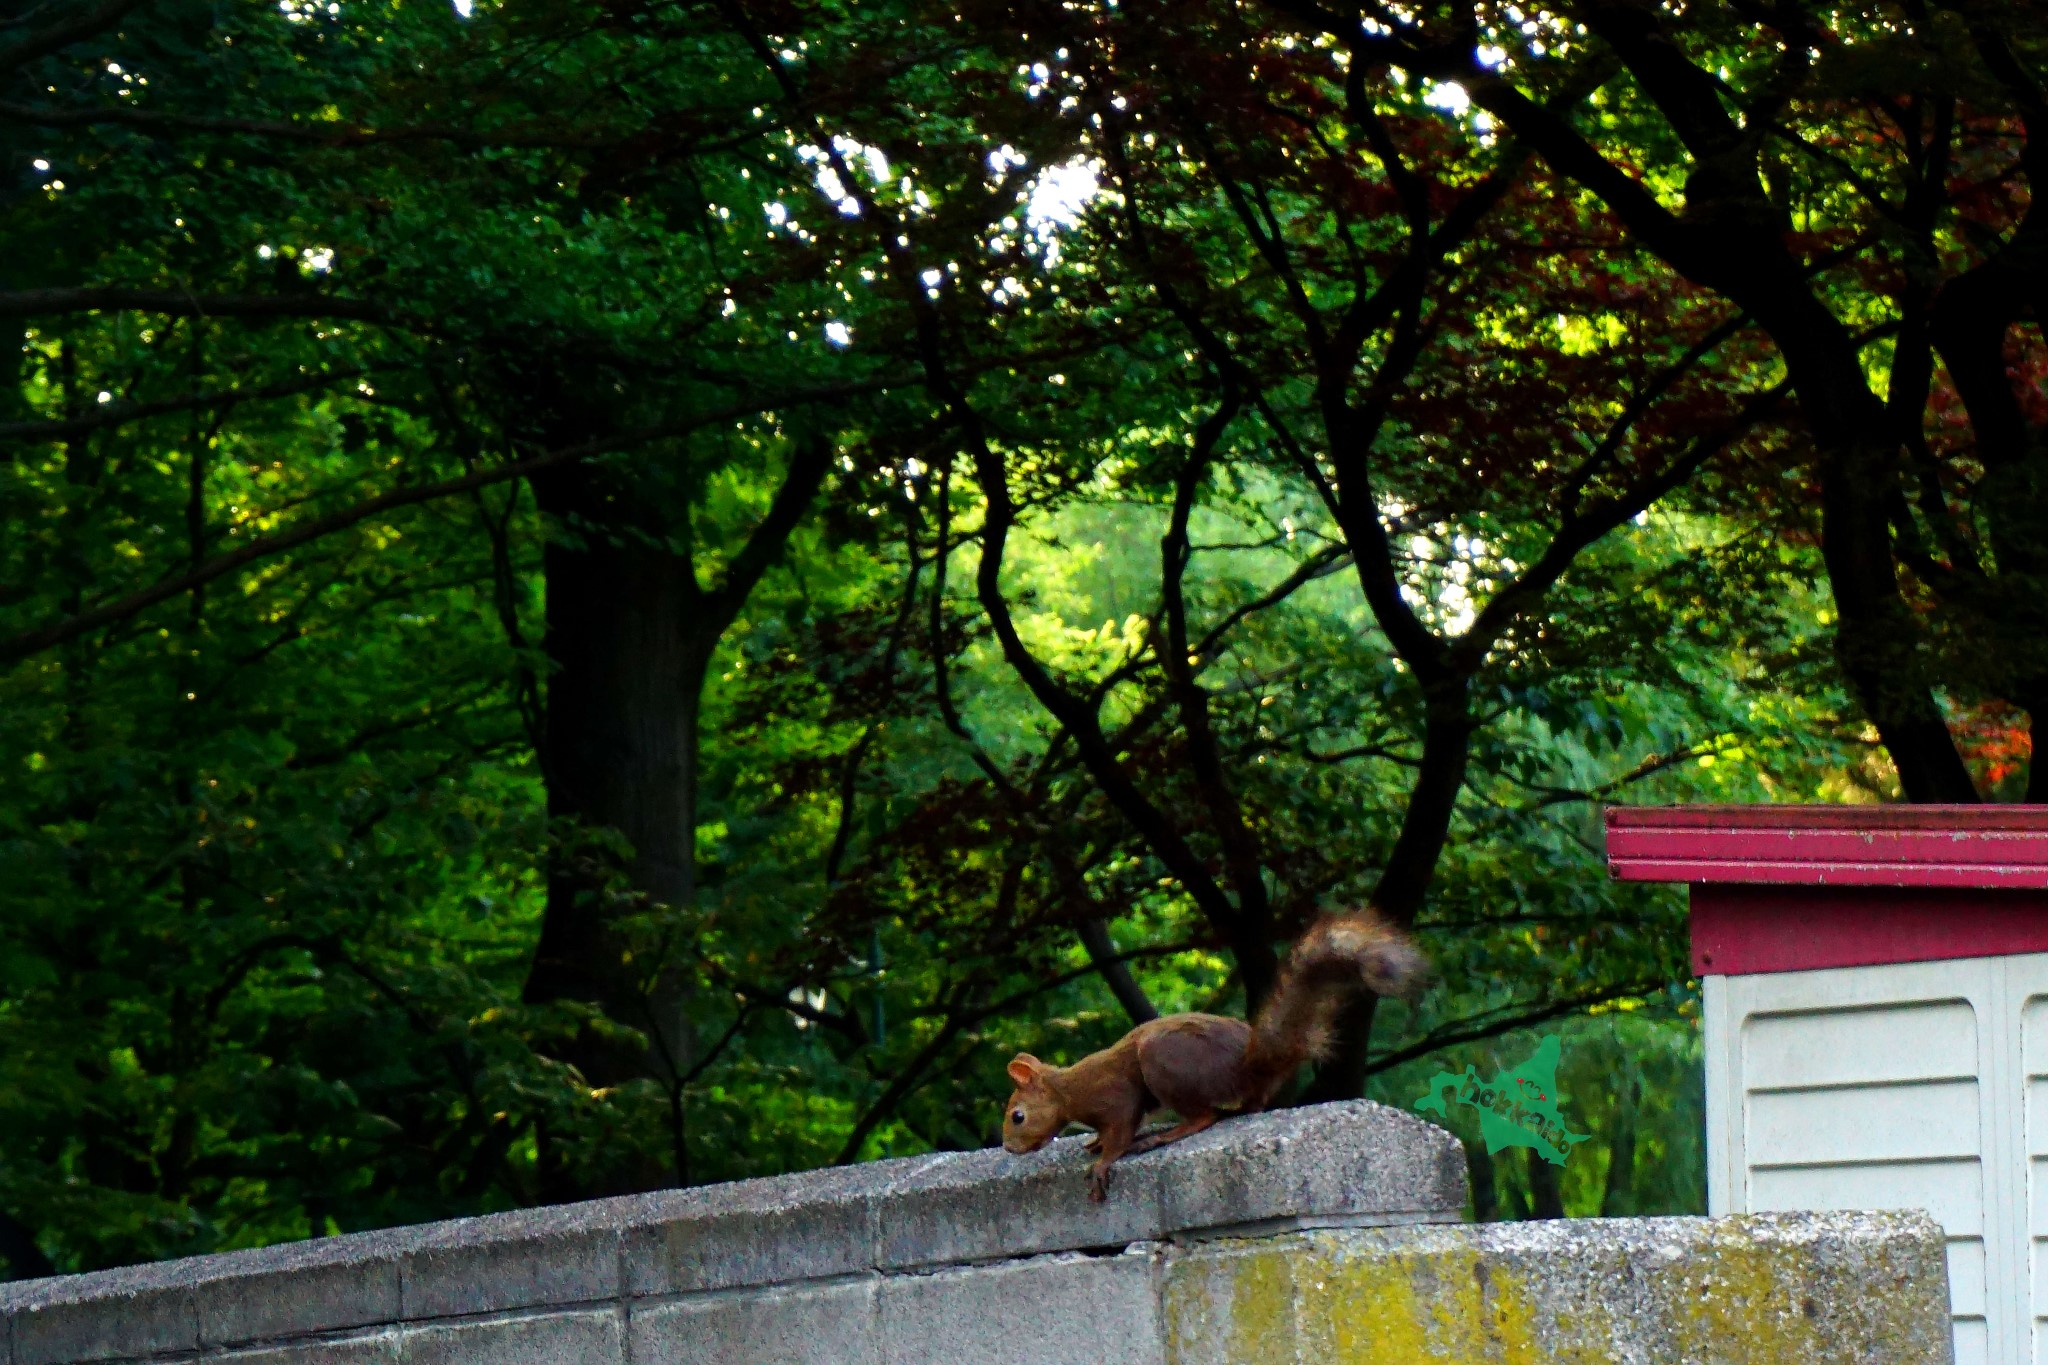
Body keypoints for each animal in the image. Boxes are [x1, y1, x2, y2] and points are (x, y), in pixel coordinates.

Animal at [995, 912, 1425, 1203]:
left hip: (1165, 1063)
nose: (1009, 1150)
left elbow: (1122, 1127)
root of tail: (1250, 1067)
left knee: (1205, 1115)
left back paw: (1167, 1134)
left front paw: (1102, 1162)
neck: (1067, 1089)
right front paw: (1094, 1144)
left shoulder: (1114, 1096)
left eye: (1018, 1116)